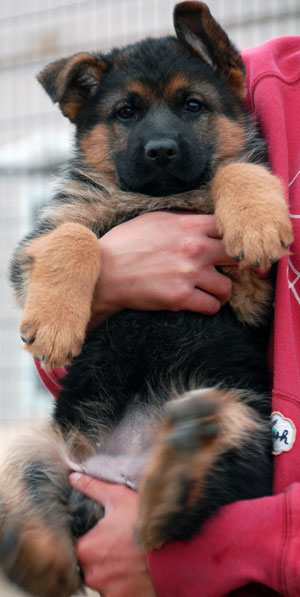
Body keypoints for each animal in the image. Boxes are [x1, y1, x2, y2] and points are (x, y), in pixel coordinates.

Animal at [1, 1, 292, 596]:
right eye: (126, 112)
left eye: (192, 105)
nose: (160, 151)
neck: (160, 197)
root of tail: (117, 471)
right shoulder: (36, 245)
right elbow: (76, 235)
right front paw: (55, 323)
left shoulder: (251, 297)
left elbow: (233, 166)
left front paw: (256, 219)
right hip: (25, 450)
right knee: (58, 567)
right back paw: (25, 553)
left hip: (242, 417)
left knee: (159, 524)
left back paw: (177, 463)